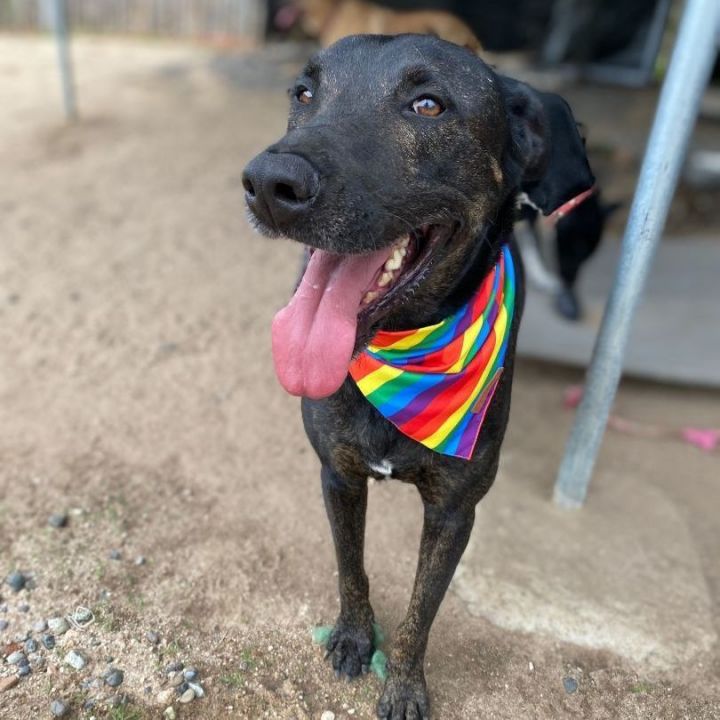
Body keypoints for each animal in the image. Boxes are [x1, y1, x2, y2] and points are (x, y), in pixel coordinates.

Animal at [242, 35, 592, 720]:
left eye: (428, 104)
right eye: (304, 93)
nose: (269, 184)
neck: (402, 354)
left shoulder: (456, 512)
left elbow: (421, 611)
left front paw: (403, 684)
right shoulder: (339, 475)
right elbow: (351, 567)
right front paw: (354, 637)